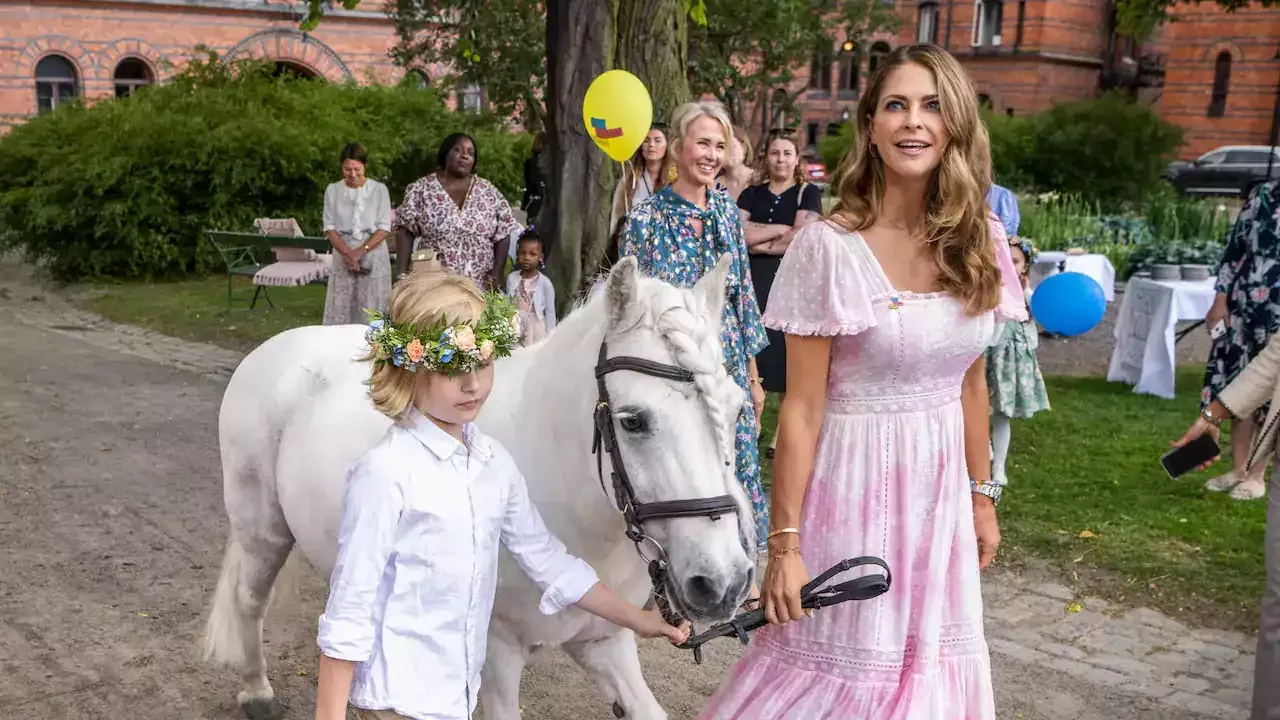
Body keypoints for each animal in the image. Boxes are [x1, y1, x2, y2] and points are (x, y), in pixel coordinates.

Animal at [203, 254, 752, 712]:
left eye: (738, 408)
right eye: (633, 420)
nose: (723, 583)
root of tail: (274, 348)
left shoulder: (604, 642)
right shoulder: (499, 653)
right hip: (263, 532)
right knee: (250, 601)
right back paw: (256, 692)